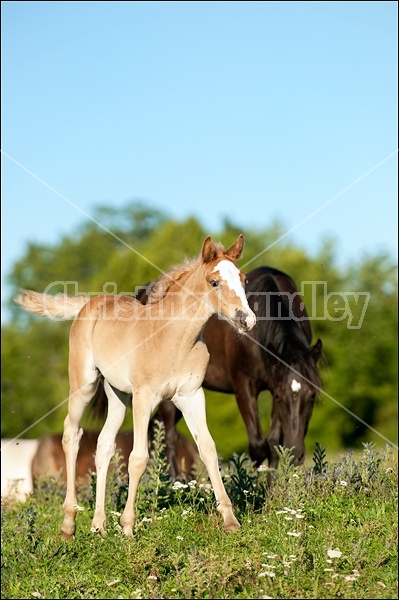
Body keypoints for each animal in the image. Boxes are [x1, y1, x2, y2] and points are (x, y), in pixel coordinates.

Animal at [15, 234, 256, 540]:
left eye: (244, 279)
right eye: (214, 282)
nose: (246, 320)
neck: (174, 337)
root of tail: (90, 303)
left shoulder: (191, 396)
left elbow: (209, 450)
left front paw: (230, 520)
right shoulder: (144, 398)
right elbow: (139, 457)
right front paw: (128, 526)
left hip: (116, 394)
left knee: (104, 445)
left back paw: (99, 525)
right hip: (84, 384)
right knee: (72, 434)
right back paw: (69, 524)